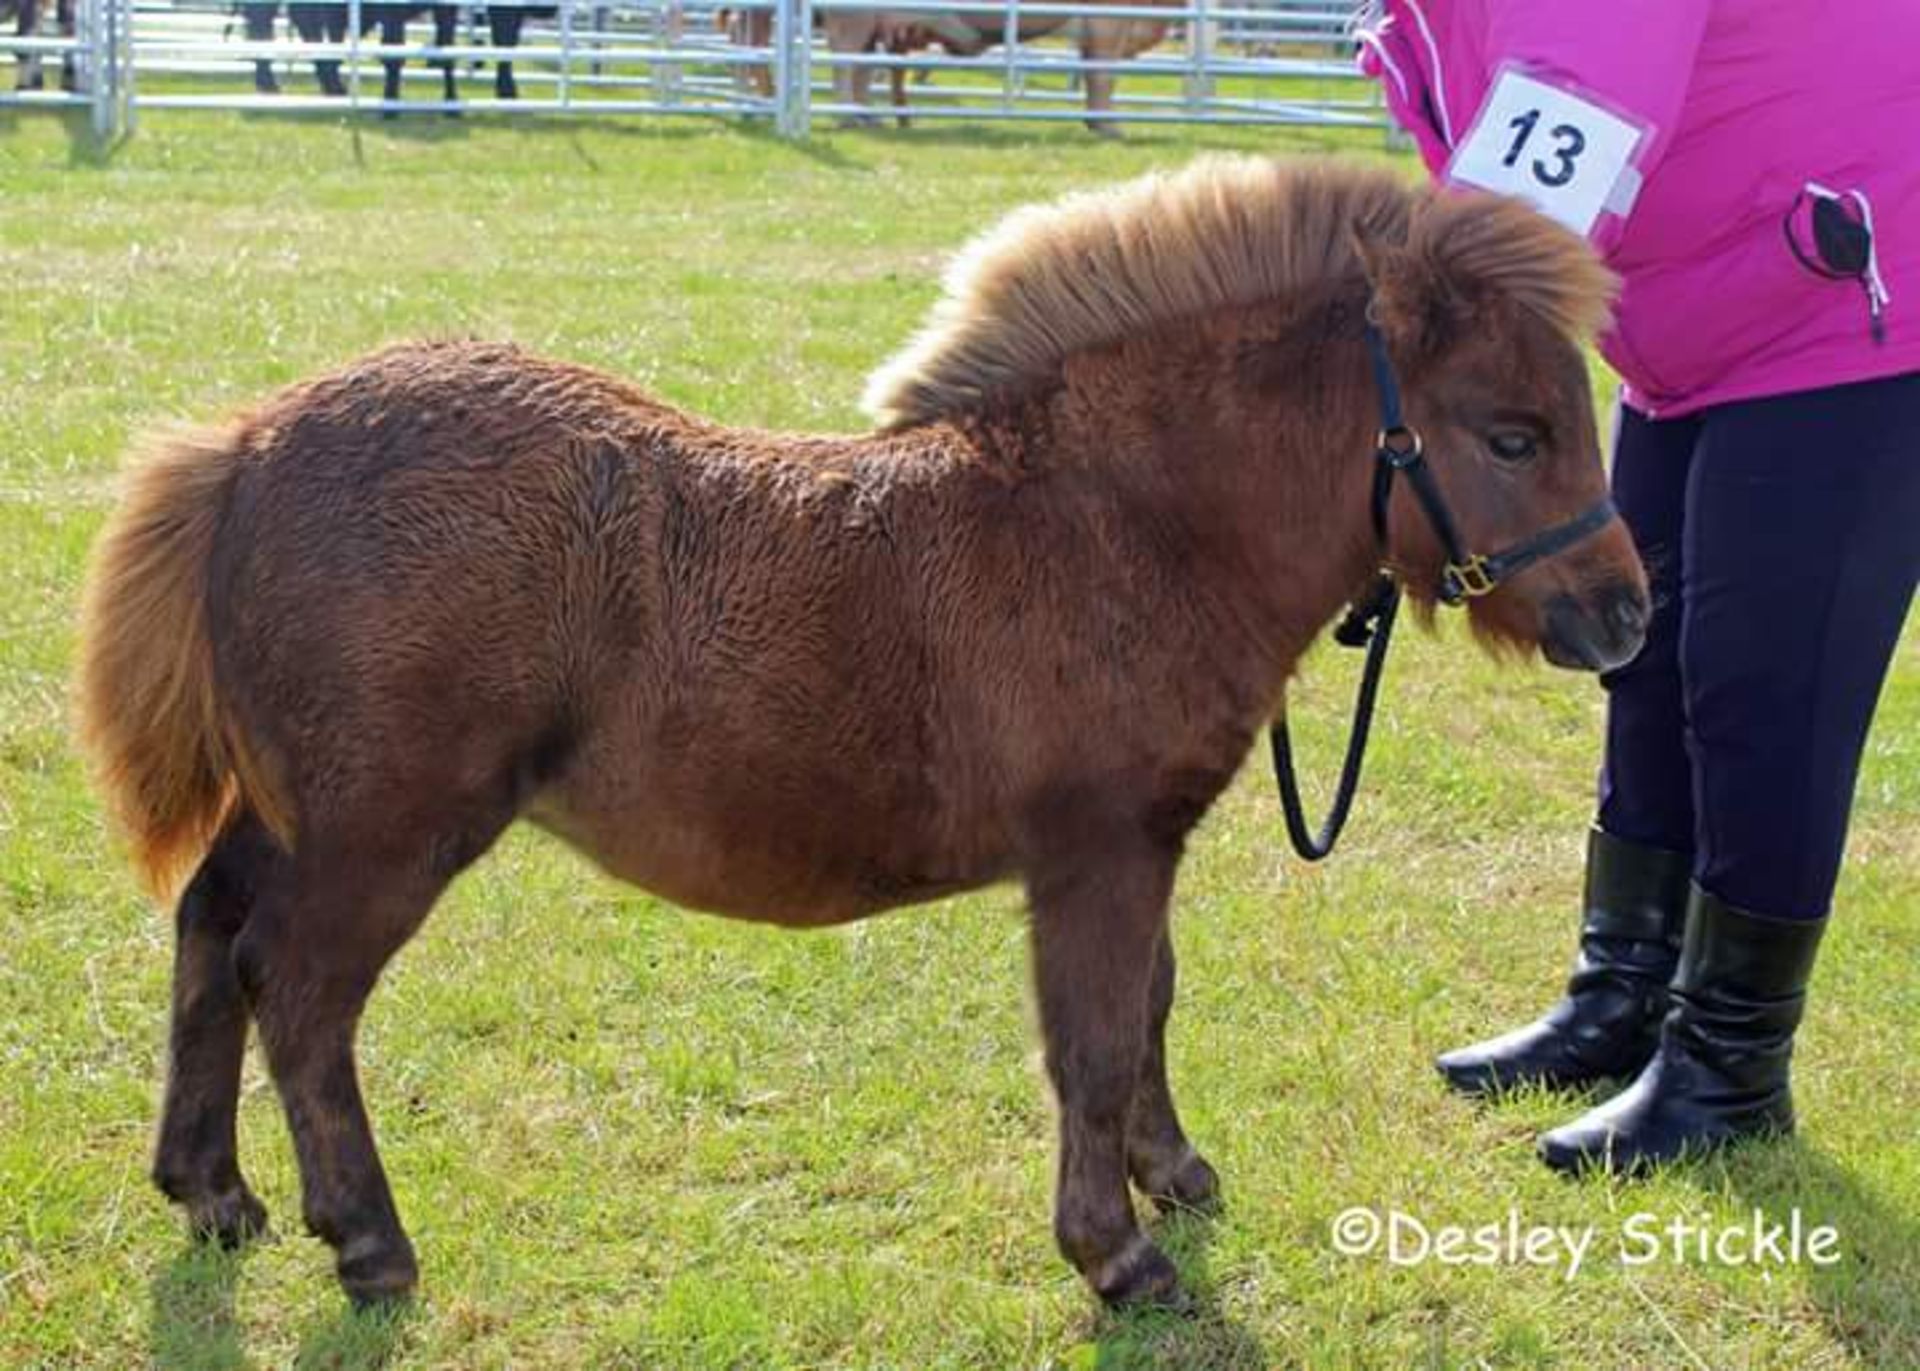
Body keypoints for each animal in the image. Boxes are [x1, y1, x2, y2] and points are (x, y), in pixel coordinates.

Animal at [78, 154, 1651, 1305]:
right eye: (1512, 433)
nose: (1626, 615)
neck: (1118, 521)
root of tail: (251, 443)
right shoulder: (1095, 851)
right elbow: (1092, 1037)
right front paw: (1117, 1253)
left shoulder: (1146, 848)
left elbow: (1150, 1002)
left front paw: (1175, 1173)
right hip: (388, 826)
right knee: (300, 989)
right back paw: (367, 1238)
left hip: (293, 806)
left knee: (211, 932)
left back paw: (212, 1190)